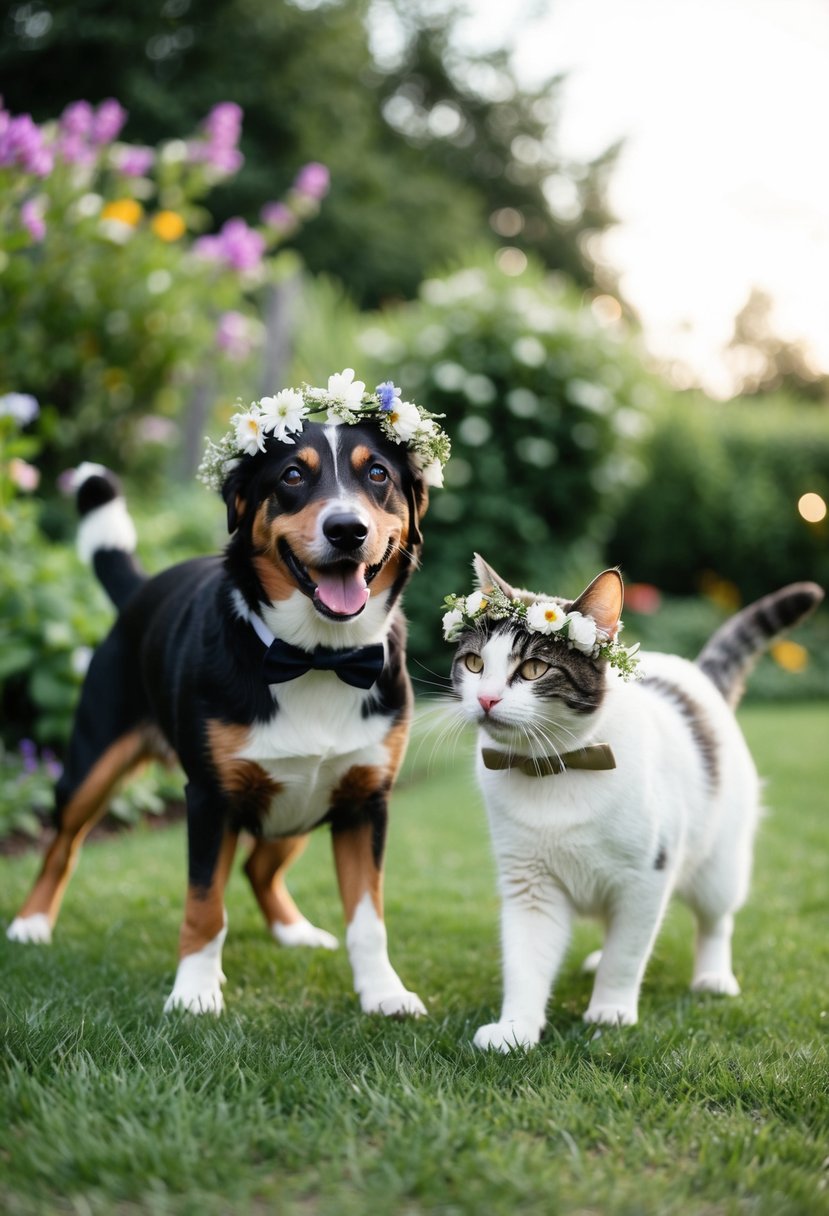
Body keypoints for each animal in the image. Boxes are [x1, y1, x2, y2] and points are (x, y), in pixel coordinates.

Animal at [6, 418, 430, 1016]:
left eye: (377, 474)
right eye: (292, 475)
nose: (347, 529)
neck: (317, 657)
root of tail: (143, 589)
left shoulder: (365, 801)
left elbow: (368, 918)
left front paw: (383, 992)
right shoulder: (210, 798)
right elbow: (205, 903)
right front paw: (195, 992)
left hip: (301, 803)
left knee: (258, 868)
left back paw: (294, 931)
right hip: (91, 766)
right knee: (61, 847)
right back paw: (32, 922)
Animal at [442, 556, 816, 1050]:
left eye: (534, 669)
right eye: (474, 663)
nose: (486, 699)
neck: (556, 767)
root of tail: (695, 674)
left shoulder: (646, 878)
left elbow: (629, 952)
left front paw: (611, 1011)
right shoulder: (529, 883)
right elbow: (526, 959)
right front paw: (515, 1028)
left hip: (720, 864)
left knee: (716, 921)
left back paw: (713, 977)